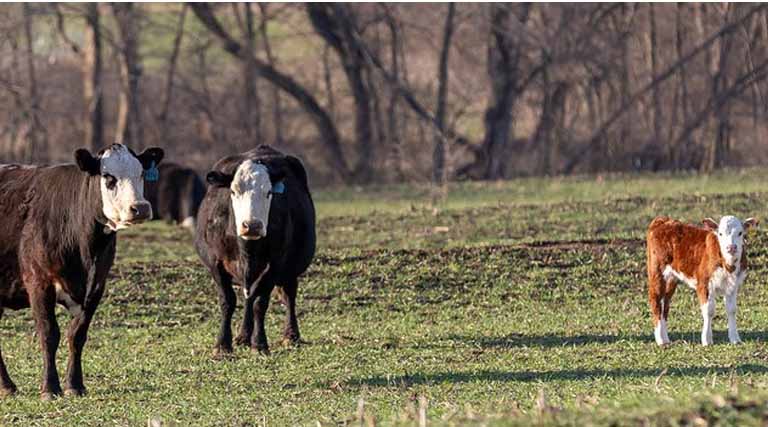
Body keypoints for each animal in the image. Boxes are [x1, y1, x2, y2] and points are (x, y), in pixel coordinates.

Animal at [0, 143, 164, 399]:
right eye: (108, 178)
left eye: (141, 173)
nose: (140, 208)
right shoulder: (39, 281)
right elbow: (49, 333)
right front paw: (50, 388)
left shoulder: (97, 285)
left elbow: (77, 335)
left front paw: (75, 385)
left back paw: (6, 386)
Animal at [195, 145, 315, 355]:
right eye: (233, 191)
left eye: (268, 192)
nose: (251, 225)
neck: (247, 249)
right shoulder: (215, 262)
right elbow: (228, 301)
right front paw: (222, 345)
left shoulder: (275, 264)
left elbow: (261, 303)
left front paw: (259, 344)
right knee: (248, 297)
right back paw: (243, 336)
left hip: (289, 270)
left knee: (288, 295)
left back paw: (290, 336)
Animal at [646, 215, 758, 346]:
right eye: (720, 233)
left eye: (740, 233)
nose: (731, 247)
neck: (729, 266)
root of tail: (662, 220)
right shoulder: (704, 284)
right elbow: (709, 311)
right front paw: (707, 339)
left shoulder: (733, 286)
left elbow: (732, 310)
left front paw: (735, 339)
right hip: (657, 271)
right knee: (656, 300)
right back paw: (660, 340)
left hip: (671, 279)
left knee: (665, 304)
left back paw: (665, 339)